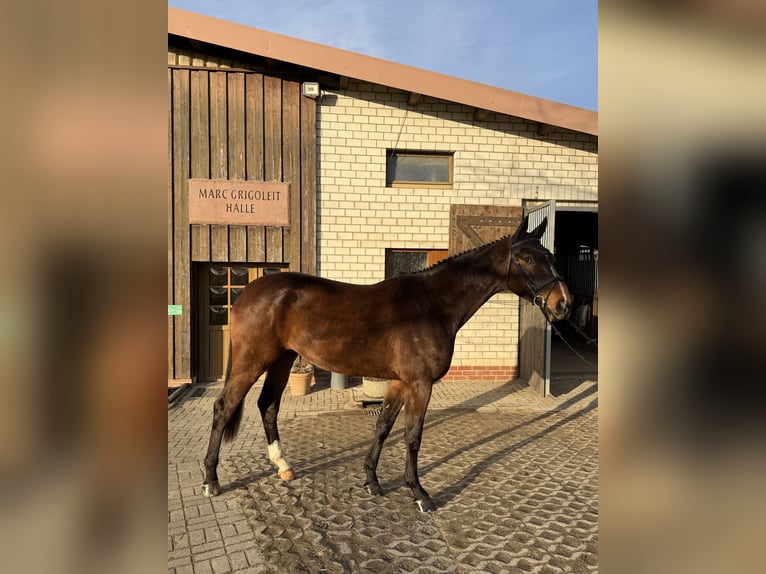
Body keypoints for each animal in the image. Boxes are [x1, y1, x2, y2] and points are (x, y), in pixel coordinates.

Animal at [202, 215, 572, 512]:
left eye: (550, 256)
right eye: (526, 257)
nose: (563, 304)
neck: (432, 304)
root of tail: (248, 292)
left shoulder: (399, 382)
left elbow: (383, 426)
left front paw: (372, 481)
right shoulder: (420, 383)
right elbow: (412, 436)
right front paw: (419, 494)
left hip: (282, 359)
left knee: (267, 405)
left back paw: (283, 466)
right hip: (254, 360)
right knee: (224, 407)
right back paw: (211, 480)